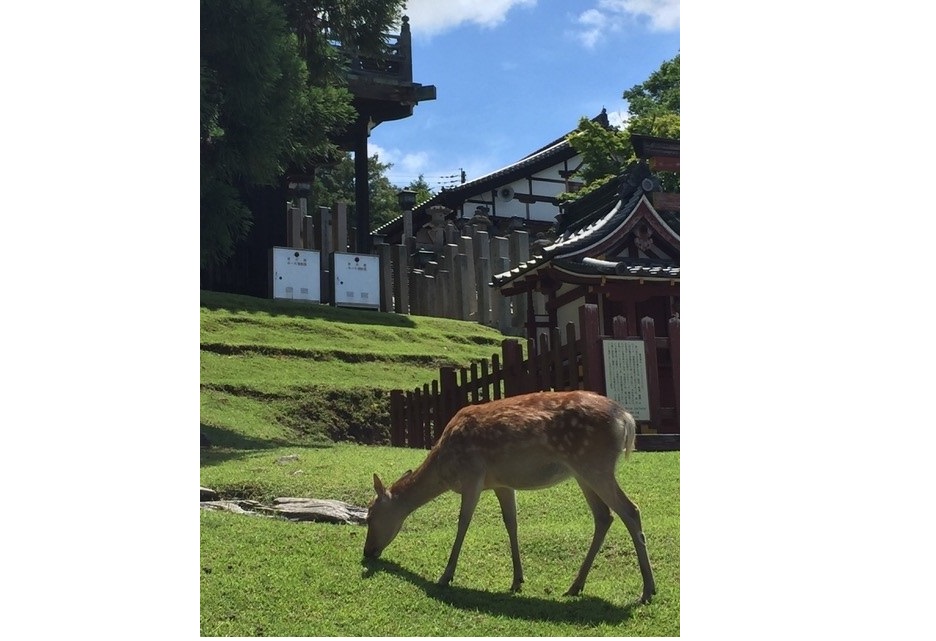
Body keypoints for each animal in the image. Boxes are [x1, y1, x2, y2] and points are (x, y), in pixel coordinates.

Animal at [362, 388, 656, 604]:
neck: (445, 468)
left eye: (370, 515)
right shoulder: (501, 483)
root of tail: (626, 419)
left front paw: (445, 576)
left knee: (631, 510)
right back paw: (575, 586)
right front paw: (517, 580)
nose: (367, 552)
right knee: (604, 516)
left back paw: (647, 590)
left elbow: (463, 523)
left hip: (594, 464)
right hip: (583, 471)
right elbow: (511, 523)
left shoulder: (472, 476)